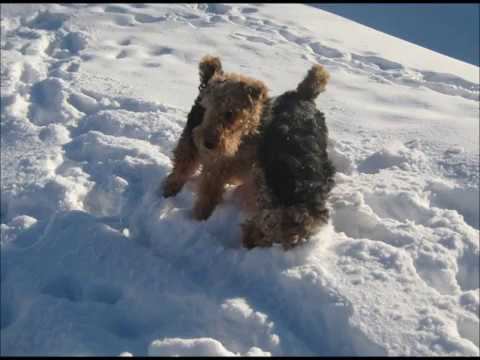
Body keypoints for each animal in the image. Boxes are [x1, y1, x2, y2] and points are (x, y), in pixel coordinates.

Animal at [161, 56, 334, 250]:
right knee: (181, 168)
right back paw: (169, 191)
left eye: (230, 113)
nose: (208, 144)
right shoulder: (220, 166)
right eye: (207, 109)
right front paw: (201, 217)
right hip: (189, 143)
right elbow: (208, 192)